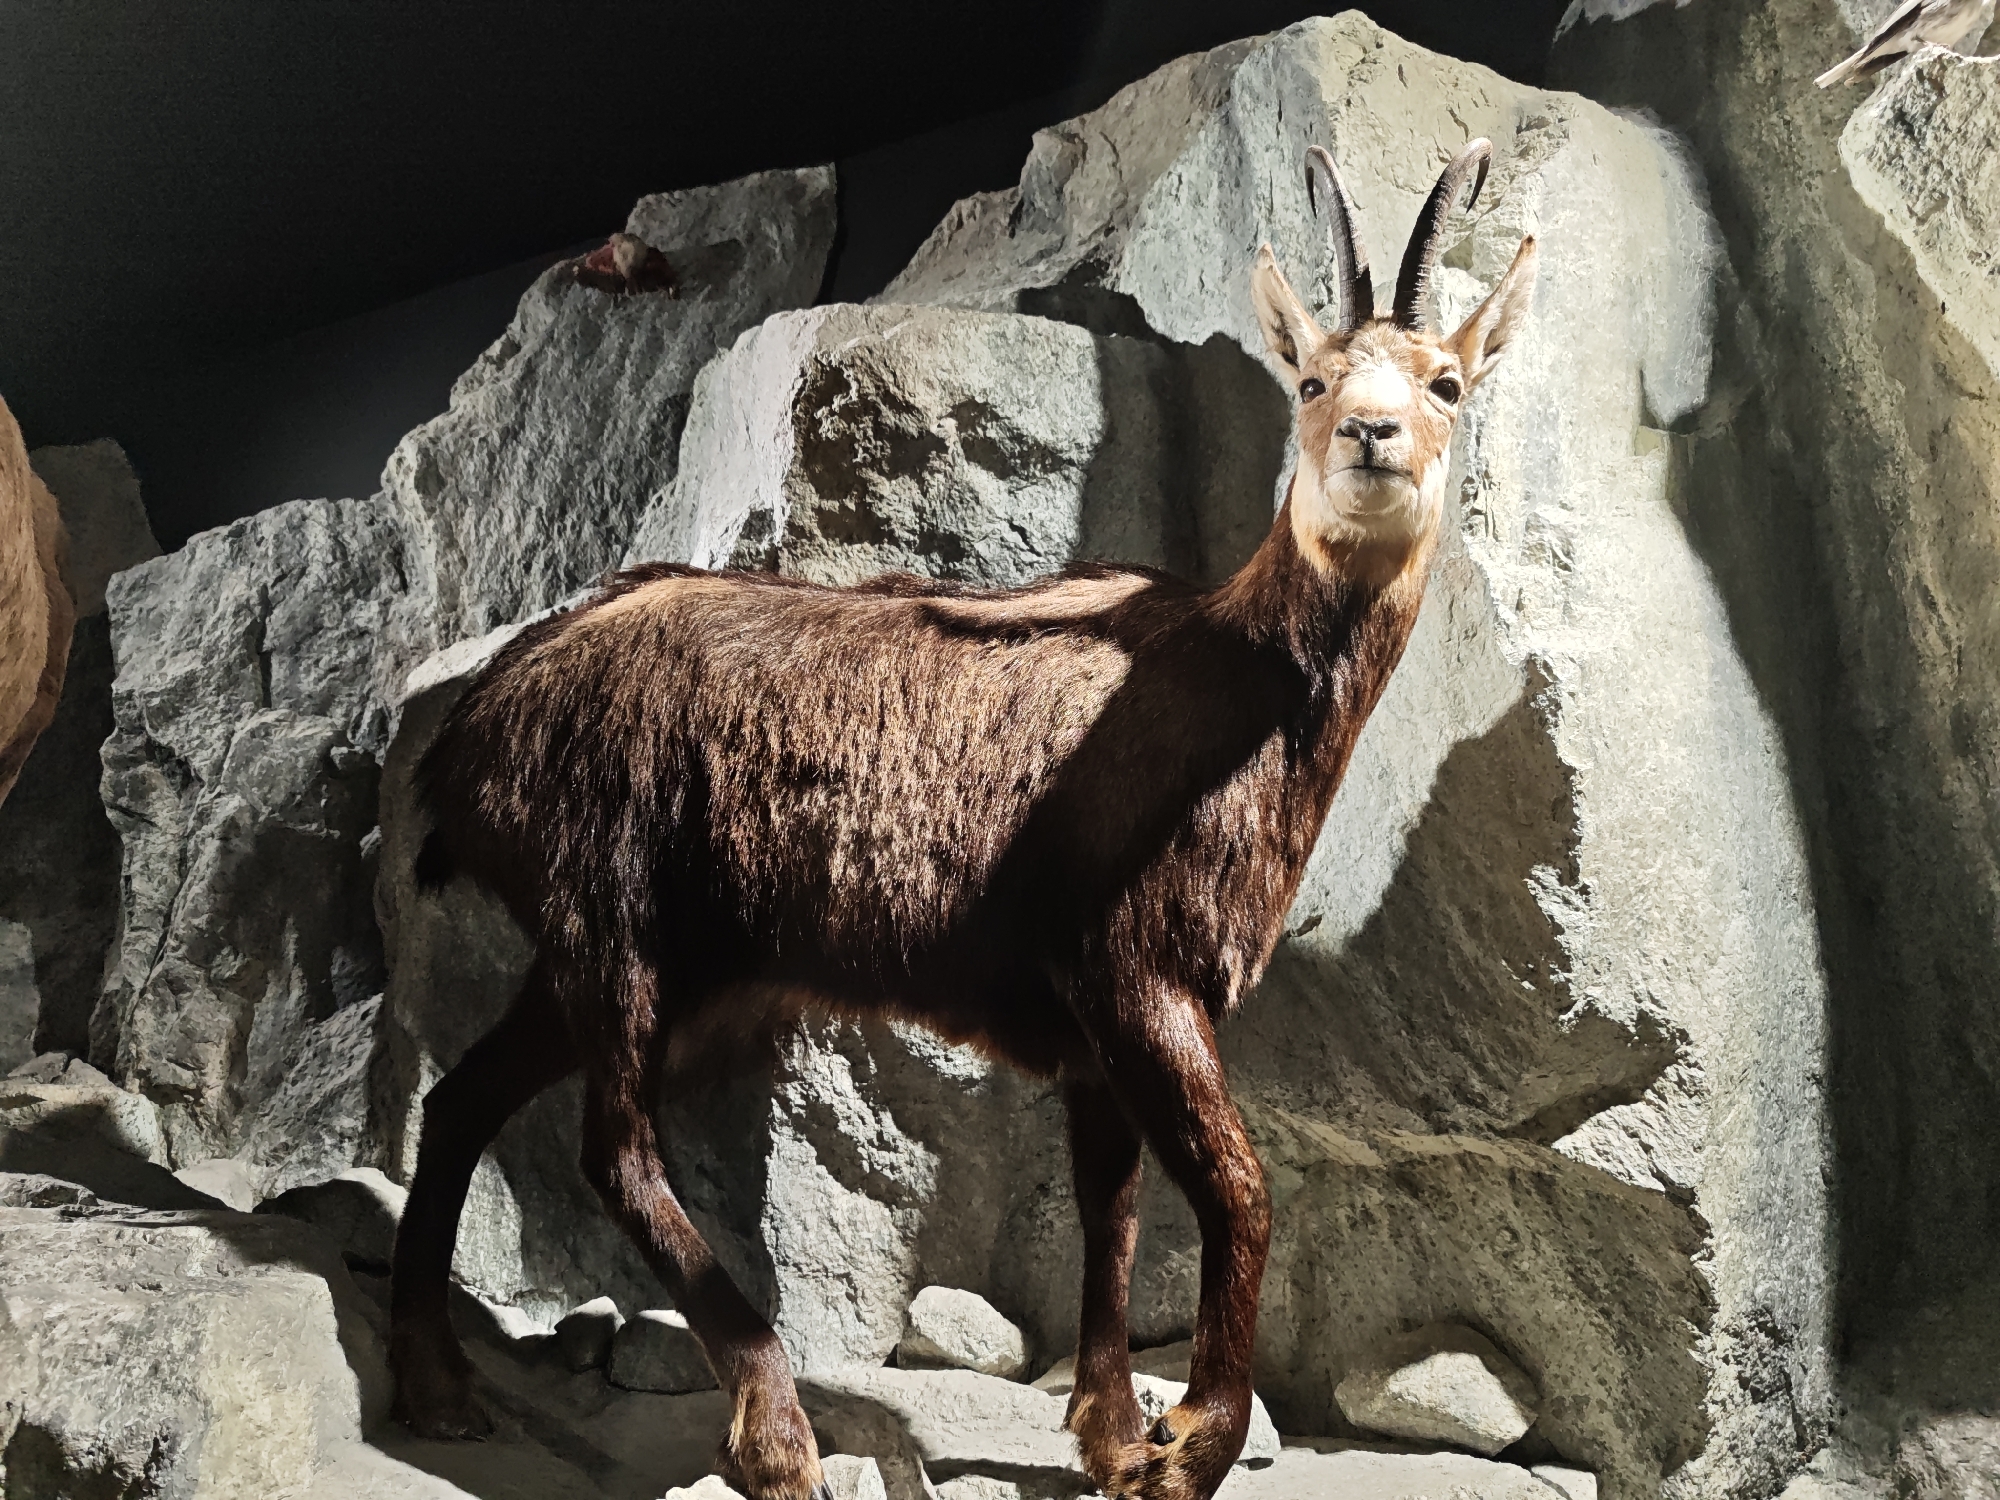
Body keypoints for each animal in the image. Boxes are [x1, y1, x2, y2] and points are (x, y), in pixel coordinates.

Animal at [391, 139, 1538, 1500]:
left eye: (1447, 381)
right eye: (1308, 377)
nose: (1371, 435)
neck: (1226, 681)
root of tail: (471, 731)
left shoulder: (1095, 1033)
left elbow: (1112, 1206)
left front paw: (1109, 1432)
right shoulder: (1138, 976)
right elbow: (1237, 1185)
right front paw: (1190, 1445)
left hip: (629, 954)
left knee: (459, 1100)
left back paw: (439, 1384)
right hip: (608, 914)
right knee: (612, 1149)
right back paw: (774, 1431)